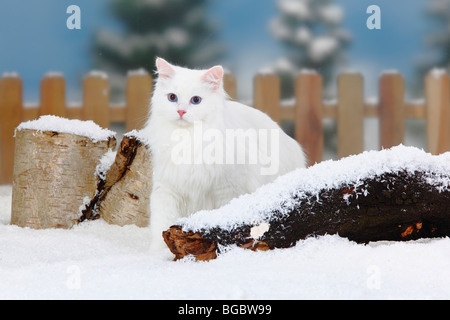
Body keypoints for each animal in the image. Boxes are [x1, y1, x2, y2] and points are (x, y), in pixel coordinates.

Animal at [144, 58, 306, 250]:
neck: (188, 139)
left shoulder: (226, 189)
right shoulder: (167, 189)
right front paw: (160, 253)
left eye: (196, 100)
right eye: (172, 98)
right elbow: (162, 225)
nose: (181, 111)